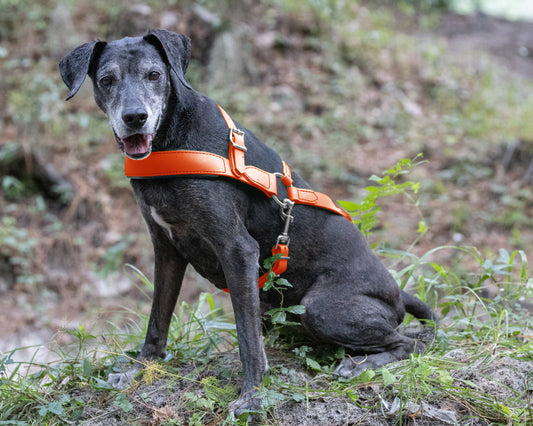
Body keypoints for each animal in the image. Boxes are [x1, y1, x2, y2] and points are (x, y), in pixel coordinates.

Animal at [59, 30, 432, 416]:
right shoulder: (166, 249)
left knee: (411, 343)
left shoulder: (237, 250)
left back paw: (361, 364)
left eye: (154, 75)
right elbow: (157, 320)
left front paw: (252, 396)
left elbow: (247, 339)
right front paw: (140, 368)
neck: (170, 142)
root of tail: (397, 294)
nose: (135, 117)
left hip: (322, 308)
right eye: (107, 79)